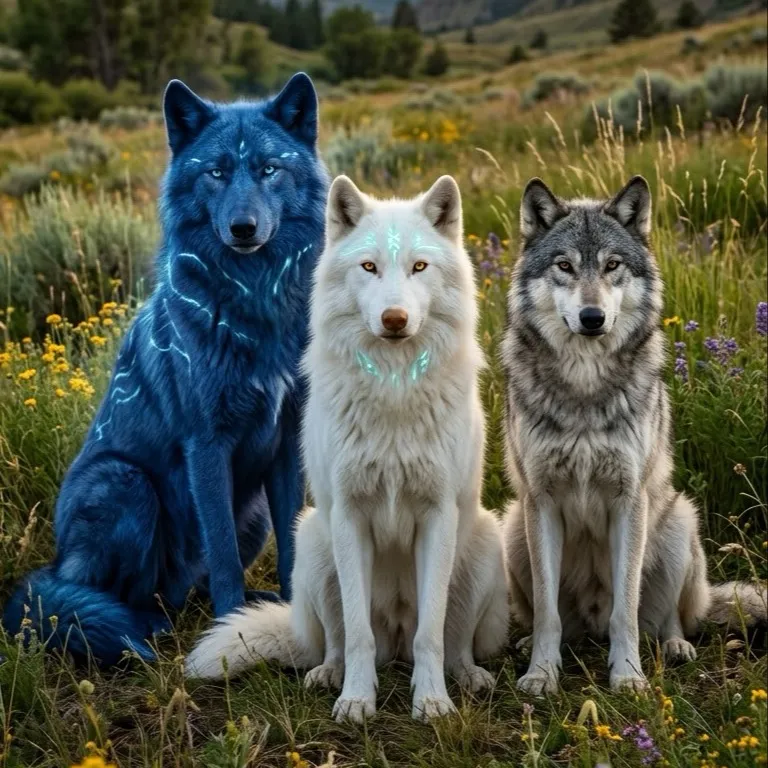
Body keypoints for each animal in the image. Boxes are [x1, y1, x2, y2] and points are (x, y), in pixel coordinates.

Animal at [2, 73, 329, 664]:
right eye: (216, 172)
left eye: (269, 169)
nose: (243, 228)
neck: (255, 304)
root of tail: (52, 567)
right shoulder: (206, 444)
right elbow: (221, 553)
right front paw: (230, 633)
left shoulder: (285, 443)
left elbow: (291, 544)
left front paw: (287, 618)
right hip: (126, 483)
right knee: (105, 597)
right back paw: (138, 624)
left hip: (253, 514)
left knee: (186, 589)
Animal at [185, 175, 510, 722]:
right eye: (369, 267)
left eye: (419, 267)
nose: (395, 319)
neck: (394, 390)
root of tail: (395, 643)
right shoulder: (350, 517)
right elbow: (357, 634)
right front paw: (357, 700)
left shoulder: (438, 515)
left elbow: (431, 635)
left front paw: (431, 703)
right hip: (313, 542)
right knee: (337, 642)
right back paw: (328, 675)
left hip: (483, 543)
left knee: (452, 642)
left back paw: (467, 679)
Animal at [501, 175, 767, 695]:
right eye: (565, 266)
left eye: (612, 265)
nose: (592, 317)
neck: (585, 386)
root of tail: (591, 623)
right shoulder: (540, 500)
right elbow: (546, 615)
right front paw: (541, 674)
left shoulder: (630, 499)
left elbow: (627, 611)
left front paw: (628, 676)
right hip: (512, 529)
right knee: (562, 621)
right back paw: (530, 647)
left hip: (679, 521)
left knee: (665, 619)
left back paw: (675, 646)